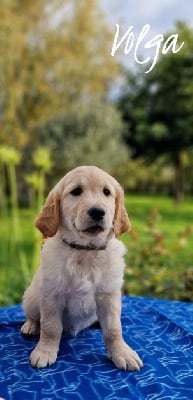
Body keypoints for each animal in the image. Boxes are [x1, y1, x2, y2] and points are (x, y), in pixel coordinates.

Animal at [21, 166, 142, 372]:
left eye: (106, 192)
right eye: (76, 191)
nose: (98, 212)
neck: (85, 251)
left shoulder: (109, 295)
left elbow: (114, 329)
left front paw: (122, 353)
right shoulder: (52, 294)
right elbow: (50, 327)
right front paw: (44, 351)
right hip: (31, 297)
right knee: (34, 316)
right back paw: (30, 326)